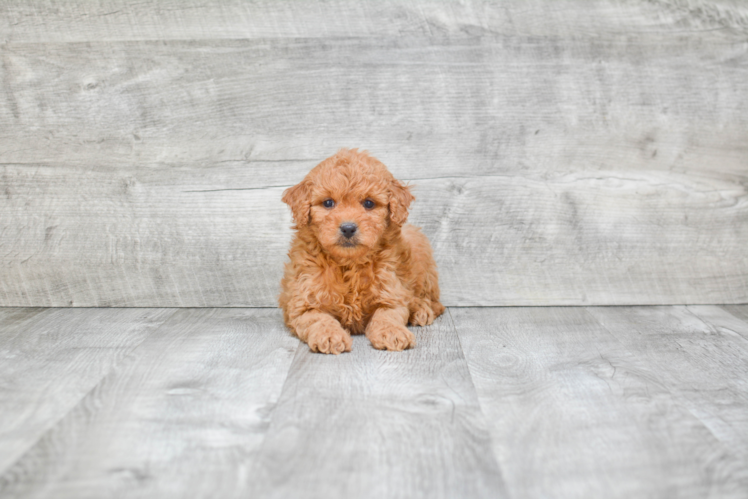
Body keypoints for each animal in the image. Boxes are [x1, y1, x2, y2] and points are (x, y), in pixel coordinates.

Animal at [280, 148, 444, 356]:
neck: (349, 263)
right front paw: (330, 336)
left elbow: (387, 314)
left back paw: (421, 309)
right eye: (328, 203)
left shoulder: (390, 293)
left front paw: (393, 332)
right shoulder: (303, 303)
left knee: (434, 302)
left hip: (422, 258)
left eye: (369, 203)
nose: (348, 228)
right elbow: (319, 319)